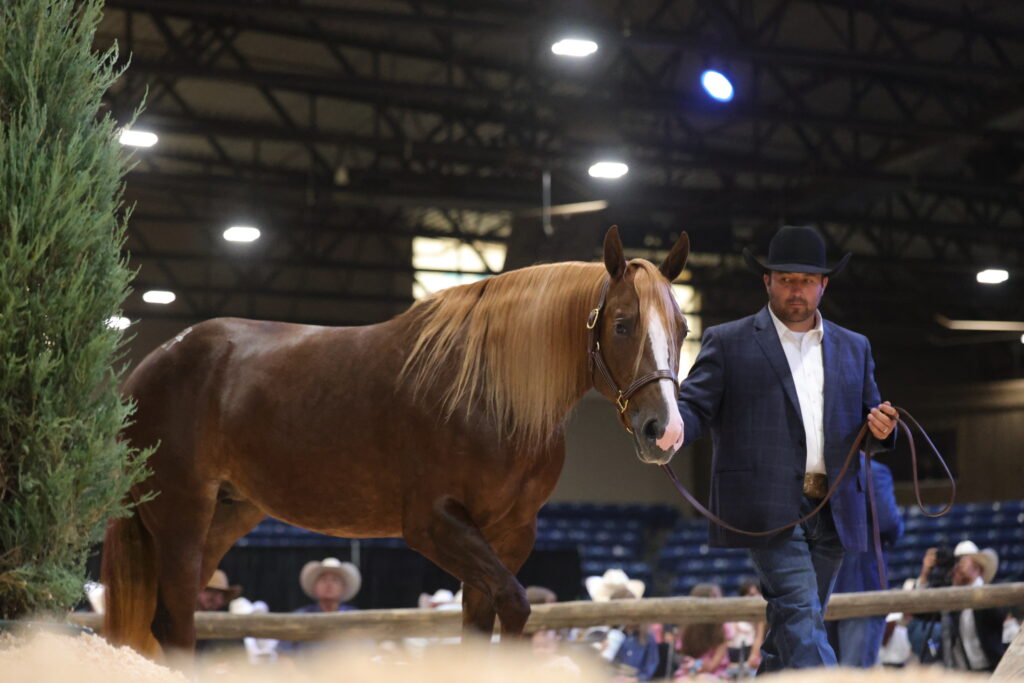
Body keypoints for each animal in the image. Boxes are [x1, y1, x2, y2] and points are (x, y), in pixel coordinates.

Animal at [101, 225, 691, 658]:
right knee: (175, 625)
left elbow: (482, 623)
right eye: (621, 324)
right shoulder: (434, 524)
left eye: (684, 328)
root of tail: (154, 363)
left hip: (226, 516)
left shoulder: (508, 535)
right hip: (180, 518)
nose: (665, 431)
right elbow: (516, 605)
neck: (492, 394)